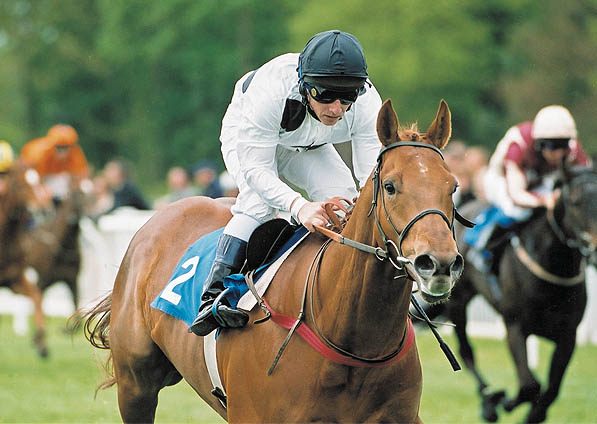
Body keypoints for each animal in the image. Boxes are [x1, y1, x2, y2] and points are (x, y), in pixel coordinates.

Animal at [434, 164, 596, 422]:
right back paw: (489, 403)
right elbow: (530, 386)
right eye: (576, 202)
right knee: (466, 352)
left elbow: (550, 390)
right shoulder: (515, 326)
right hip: (458, 302)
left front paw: (532, 412)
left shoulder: (567, 335)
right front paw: (507, 402)